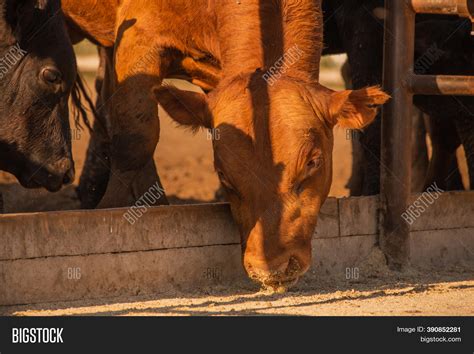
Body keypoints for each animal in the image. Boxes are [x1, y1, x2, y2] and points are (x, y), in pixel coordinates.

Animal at [63, 0, 388, 288]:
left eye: (313, 162)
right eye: (223, 174)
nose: (271, 269)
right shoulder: (138, 36)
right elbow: (135, 137)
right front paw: (111, 210)